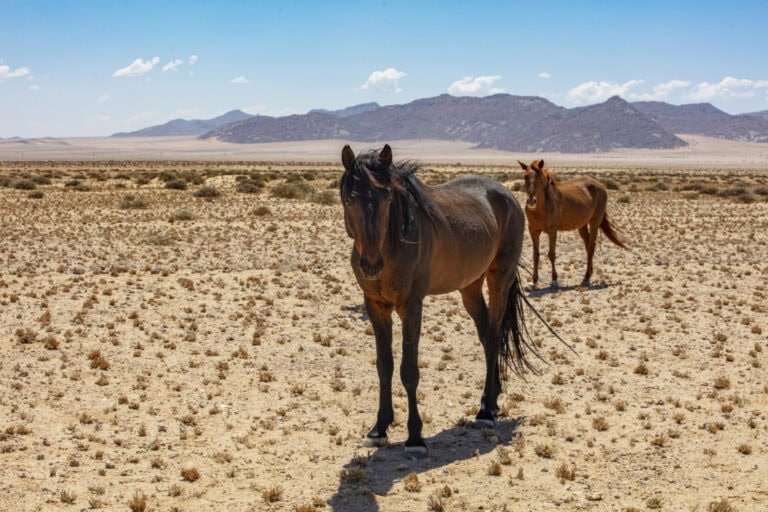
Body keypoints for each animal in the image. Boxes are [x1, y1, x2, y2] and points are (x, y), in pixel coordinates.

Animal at [340, 144, 547, 459]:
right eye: (350, 198)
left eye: (386, 197)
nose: (371, 264)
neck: (394, 241)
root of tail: (507, 195)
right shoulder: (375, 305)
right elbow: (384, 365)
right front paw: (379, 429)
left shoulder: (411, 306)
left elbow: (409, 370)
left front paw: (415, 438)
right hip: (470, 287)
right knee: (486, 336)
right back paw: (491, 401)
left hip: (499, 277)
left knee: (494, 335)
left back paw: (485, 412)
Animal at [518, 159, 627, 288]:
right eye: (525, 176)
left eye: (539, 178)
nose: (531, 201)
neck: (542, 206)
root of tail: (601, 185)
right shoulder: (533, 230)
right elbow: (535, 255)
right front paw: (534, 281)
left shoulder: (552, 231)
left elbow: (551, 254)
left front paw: (554, 280)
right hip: (582, 225)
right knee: (588, 246)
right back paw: (589, 273)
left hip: (594, 222)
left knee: (591, 247)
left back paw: (586, 278)